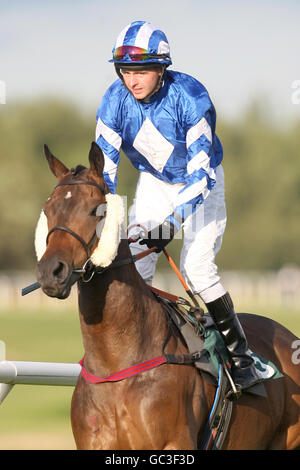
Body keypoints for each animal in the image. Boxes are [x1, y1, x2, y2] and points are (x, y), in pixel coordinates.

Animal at [35, 141, 300, 450]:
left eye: (95, 210)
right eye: (48, 209)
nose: (51, 271)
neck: (116, 365)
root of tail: (288, 337)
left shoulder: (173, 443)